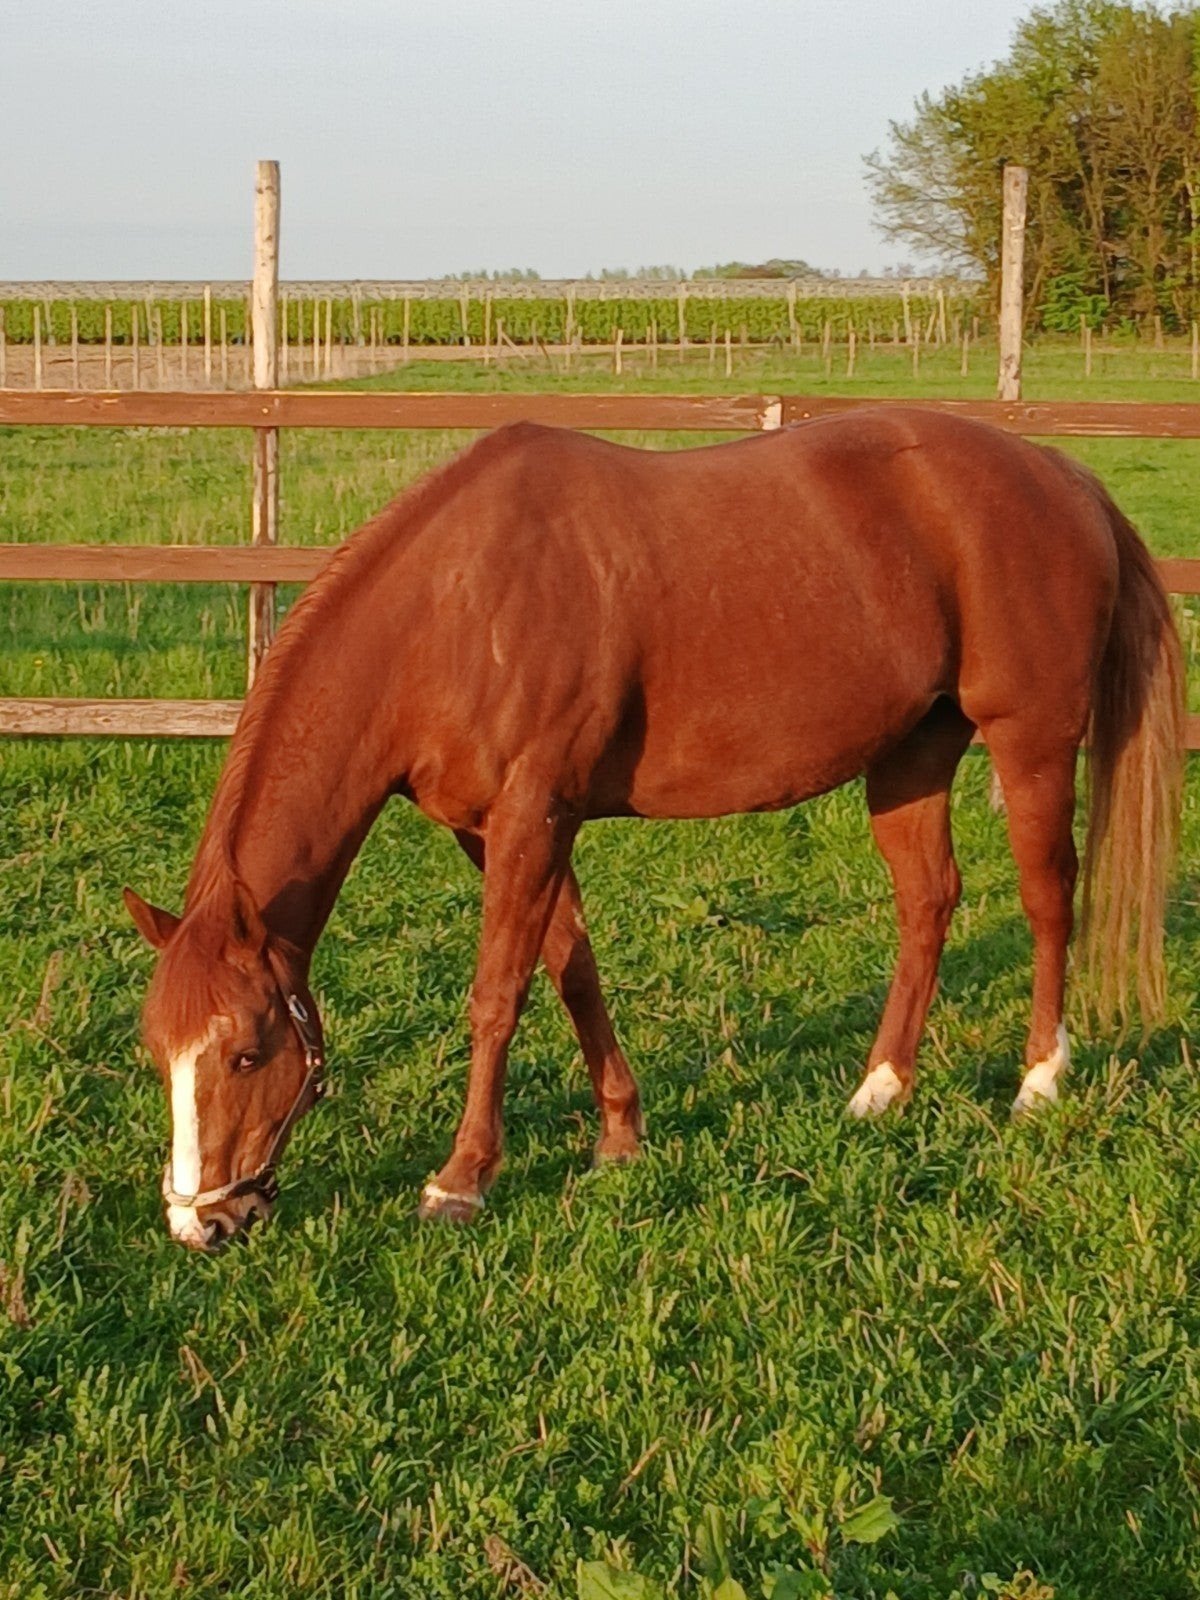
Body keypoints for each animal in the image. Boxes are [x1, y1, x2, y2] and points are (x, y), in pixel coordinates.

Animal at [124, 406, 1184, 1250]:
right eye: (158, 1053)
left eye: (247, 1053)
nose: (201, 1223)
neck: (454, 607)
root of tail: (1061, 472)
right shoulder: (506, 827)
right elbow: (572, 968)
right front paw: (622, 1136)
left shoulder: (532, 814)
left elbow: (497, 995)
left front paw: (461, 1181)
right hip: (912, 754)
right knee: (928, 903)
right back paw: (881, 1089)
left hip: (1031, 739)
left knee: (1049, 898)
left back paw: (1039, 1080)